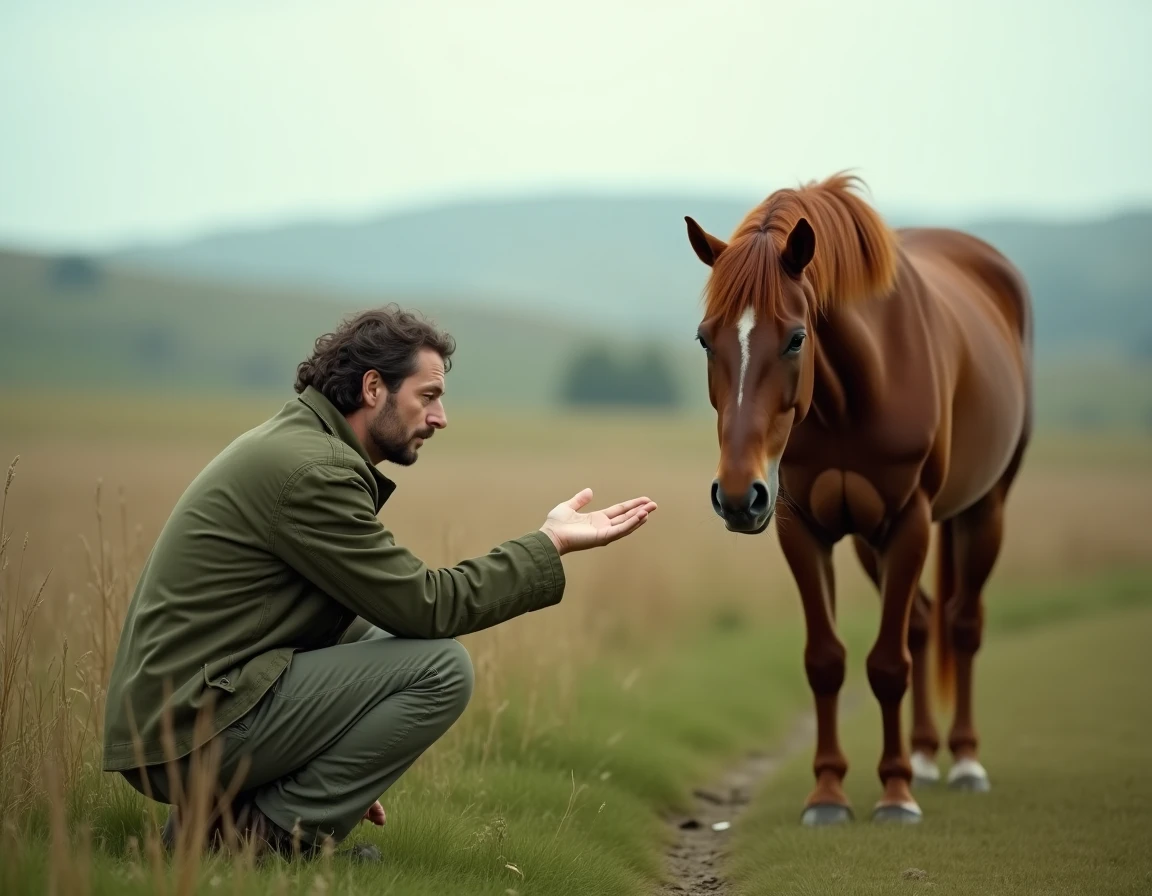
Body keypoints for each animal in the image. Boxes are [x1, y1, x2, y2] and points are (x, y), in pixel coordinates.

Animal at [682, 172, 1032, 825]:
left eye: (797, 338)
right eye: (704, 339)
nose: (739, 497)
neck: (853, 392)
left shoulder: (909, 522)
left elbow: (888, 665)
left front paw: (895, 796)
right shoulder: (801, 526)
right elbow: (827, 661)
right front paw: (828, 793)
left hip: (984, 510)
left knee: (962, 624)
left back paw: (964, 762)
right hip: (871, 541)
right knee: (920, 623)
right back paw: (923, 756)